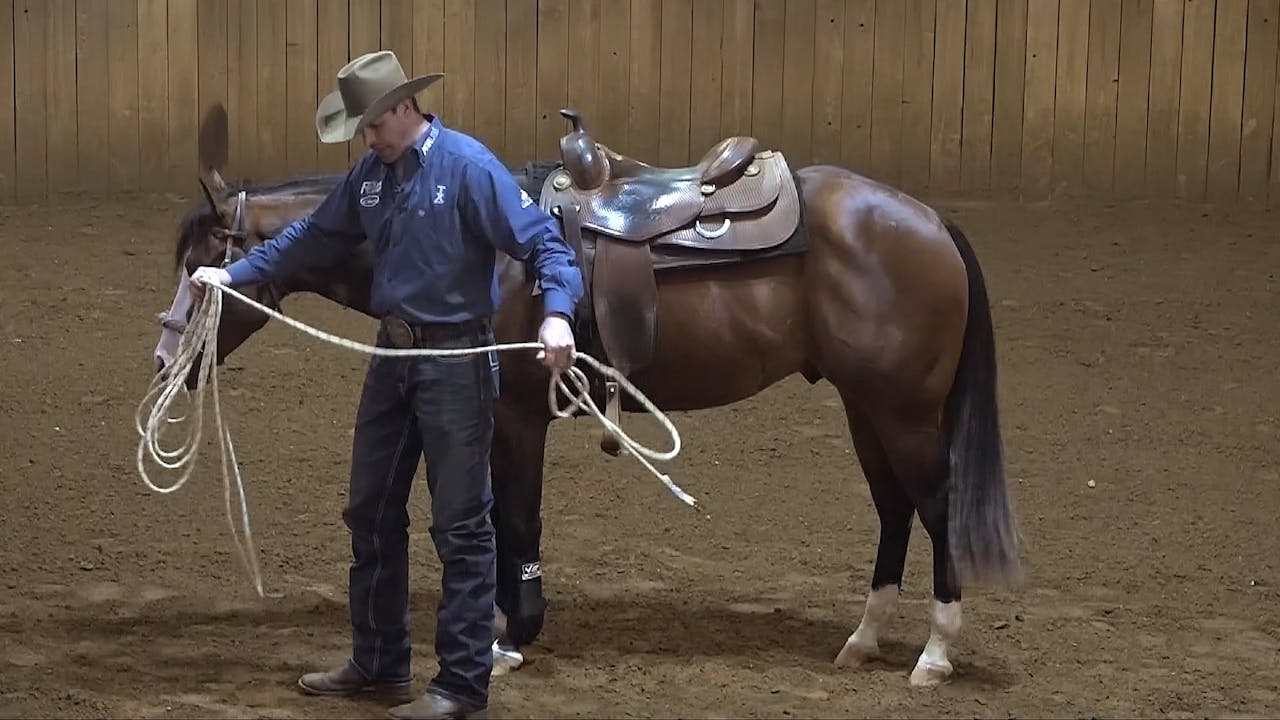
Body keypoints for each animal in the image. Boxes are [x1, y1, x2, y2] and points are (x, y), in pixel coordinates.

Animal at [151, 102, 1023, 688]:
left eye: (202, 265)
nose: (165, 363)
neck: (490, 253)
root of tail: (930, 219)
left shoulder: (515, 418)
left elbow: (516, 521)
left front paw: (509, 637)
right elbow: (497, 520)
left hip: (902, 411)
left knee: (936, 506)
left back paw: (934, 653)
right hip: (864, 406)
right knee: (894, 510)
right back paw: (864, 640)